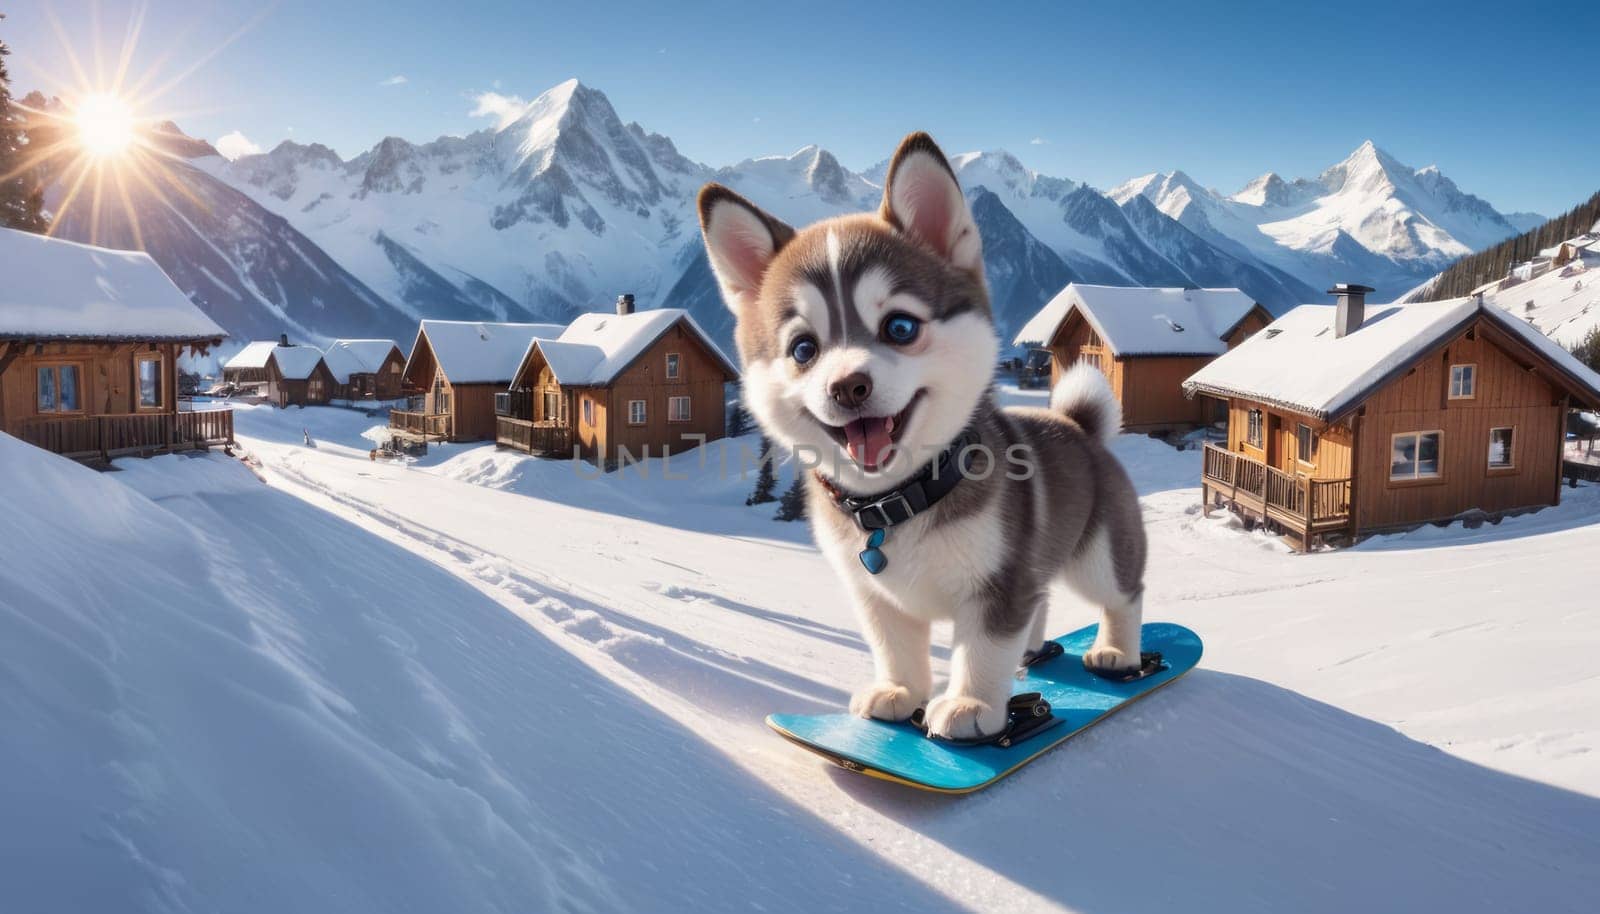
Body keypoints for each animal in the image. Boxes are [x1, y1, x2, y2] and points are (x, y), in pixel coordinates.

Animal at [700, 132, 1152, 739]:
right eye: (803, 349)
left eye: (900, 326)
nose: (848, 386)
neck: (900, 502)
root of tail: (1080, 425)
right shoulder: (875, 595)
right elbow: (894, 645)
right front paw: (899, 692)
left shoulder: (999, 582)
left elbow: (983, 648)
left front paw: (972, 705)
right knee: (1041, 603)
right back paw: (1034, 654)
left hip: (1099, 553)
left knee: (1123, 594)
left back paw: (1118, 653)